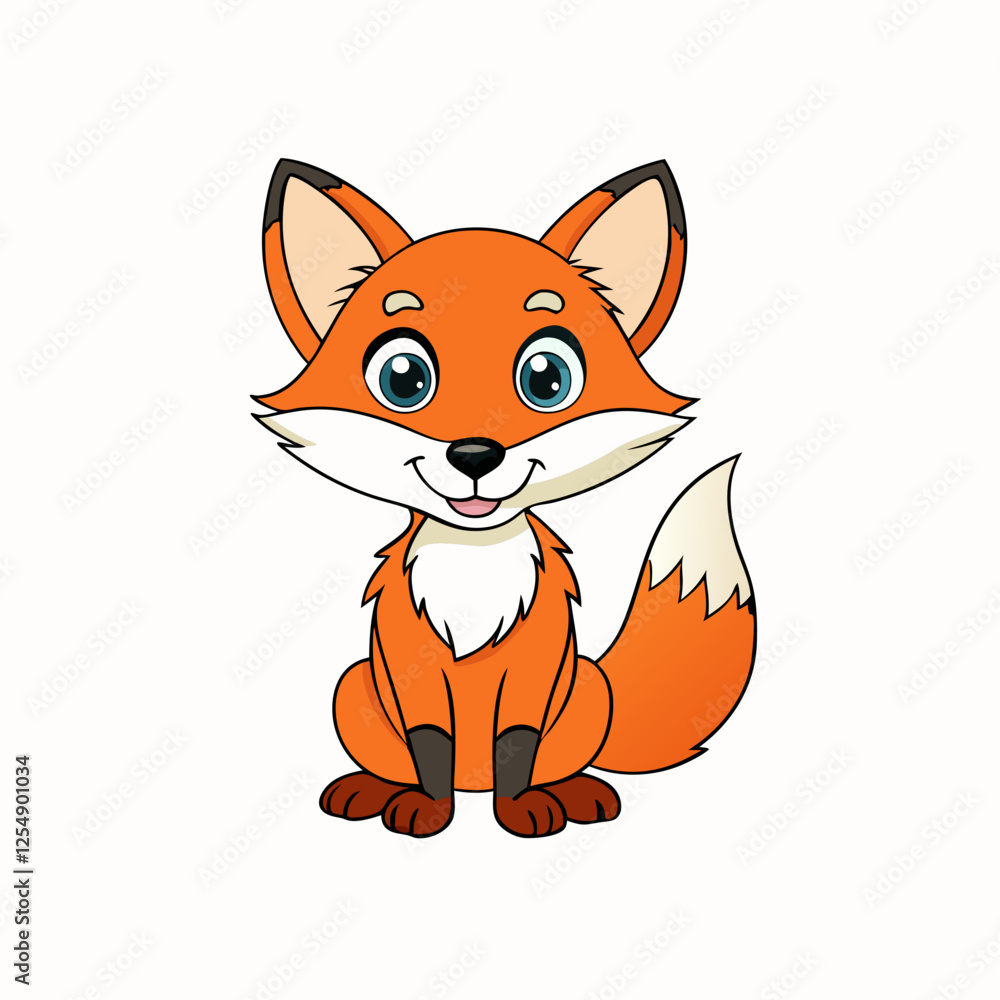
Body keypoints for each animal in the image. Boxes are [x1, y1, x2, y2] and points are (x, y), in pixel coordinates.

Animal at [253, 157, 756, 838]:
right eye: (403, 378)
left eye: (547, 379)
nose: (474, 455)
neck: (475, 565)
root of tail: (476, 784)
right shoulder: (410, 671)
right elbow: (431, 744)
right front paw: (428, 810)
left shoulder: (535, 671)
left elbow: (517, 743)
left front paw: (521, 811)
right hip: (351, 687)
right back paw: (373, 789)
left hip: (587, 689)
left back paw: (572, 792)